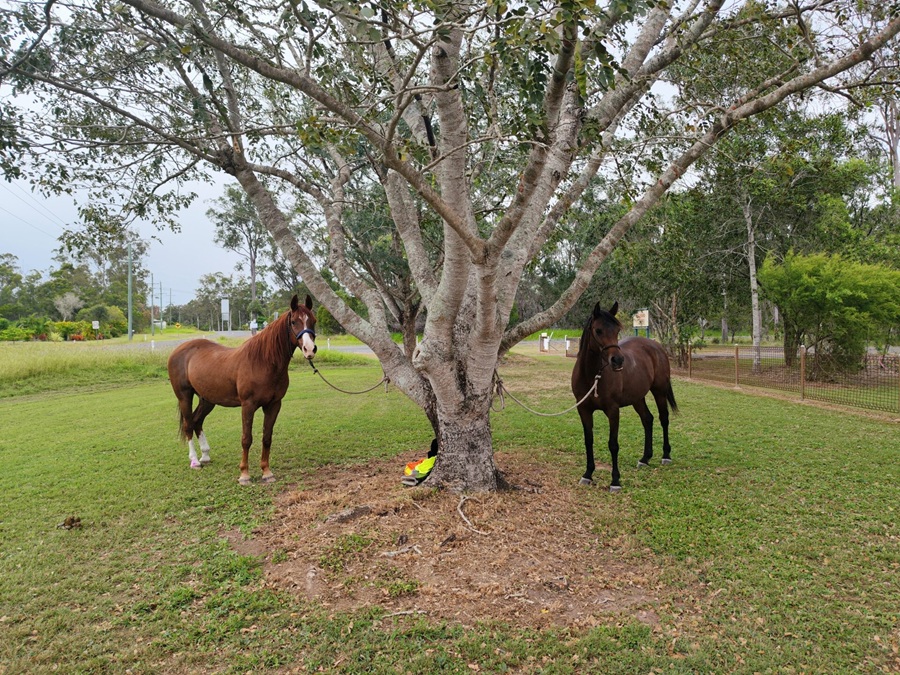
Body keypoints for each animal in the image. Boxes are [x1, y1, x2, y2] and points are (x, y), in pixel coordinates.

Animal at [167, 294, 317, 485]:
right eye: (294, 322)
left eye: (313, 320)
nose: (309, 349)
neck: (263, 362)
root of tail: (178, 350)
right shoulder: (248, 406)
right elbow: (246, 439)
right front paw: (244, 475)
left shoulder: (274, 405)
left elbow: (266, 438)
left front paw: (266, 472)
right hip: (184, 396)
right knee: (188, 425)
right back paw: (194, 461)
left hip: (207, 399)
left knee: (197, 421)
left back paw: (205, 456)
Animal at [571, 302, 677, 491]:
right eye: (598, 330)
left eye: (617, 330)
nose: (618, 360)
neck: (592, 376)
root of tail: (656, 346)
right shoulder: (583, 409)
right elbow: (588, 441)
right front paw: (588, 474)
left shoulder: (613, 410)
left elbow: (613, 444)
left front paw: (615, 481)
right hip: (637, 398)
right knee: (647, 419)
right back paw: (645, 458)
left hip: (659, 391)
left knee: (663, 419)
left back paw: (666, 455)